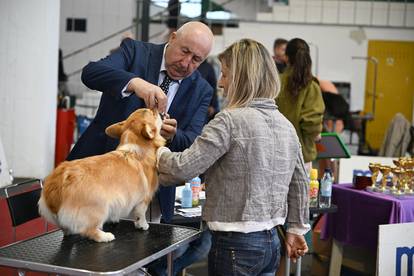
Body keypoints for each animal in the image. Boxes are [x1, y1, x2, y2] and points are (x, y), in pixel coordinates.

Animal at [38, 109, 166, 243]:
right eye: (152, 113)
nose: (157, 109)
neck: (136, 146)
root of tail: (61, 178)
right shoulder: (144, 200)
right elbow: (140, 214)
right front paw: (143, 225)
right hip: (100, 208)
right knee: (88, 230)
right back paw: (105, 236)